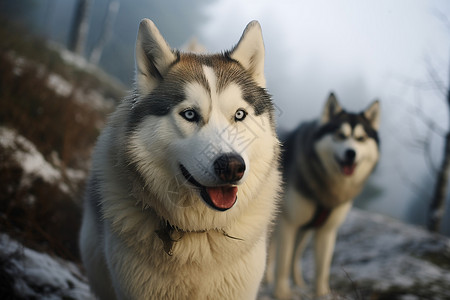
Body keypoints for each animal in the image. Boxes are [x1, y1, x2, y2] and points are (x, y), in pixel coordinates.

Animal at [268, 93, 380, 298]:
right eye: (340, 135)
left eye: (361, 138)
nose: (351, 153)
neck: (327, 186)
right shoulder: (288, 224)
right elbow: (283, 261)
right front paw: (281, 293)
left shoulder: (327, 231)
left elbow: (322, 268)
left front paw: (320, 293)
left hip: (305, 229)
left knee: (296, 254)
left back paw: (299, 282)